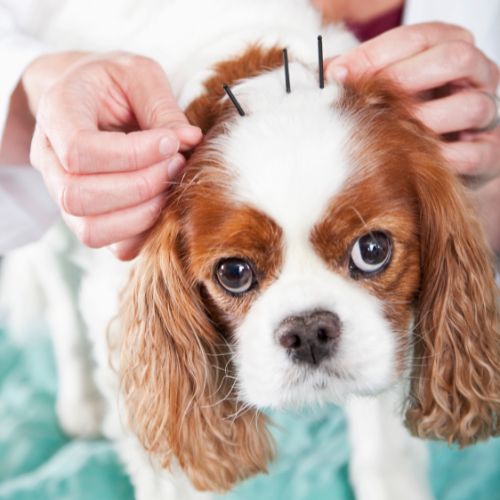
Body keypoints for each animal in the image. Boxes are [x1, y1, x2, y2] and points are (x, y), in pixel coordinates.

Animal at [1, 0, 498, 500]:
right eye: (234, 273)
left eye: (372, 249)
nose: (309, 331)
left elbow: (385, 443)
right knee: (60, 300)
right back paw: (79, 401)